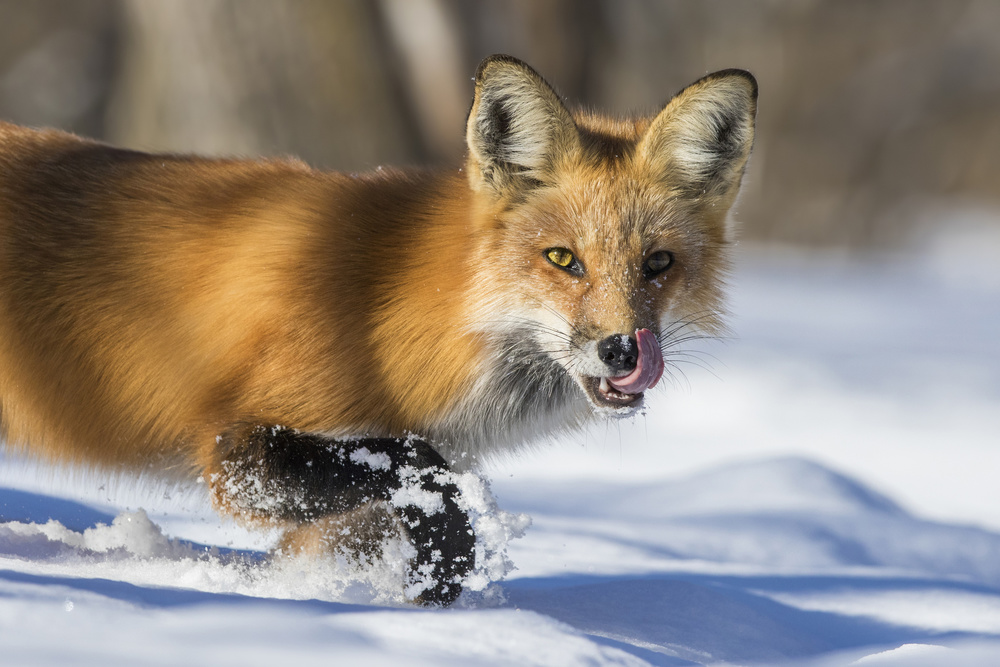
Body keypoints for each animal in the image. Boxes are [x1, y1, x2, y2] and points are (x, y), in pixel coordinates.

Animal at [0, 55, 756, 605]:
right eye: (563, 259)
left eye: (658, 264)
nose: (623, 350)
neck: (386, 307)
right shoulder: (233, 451)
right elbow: (424, 469)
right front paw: (438, 576)